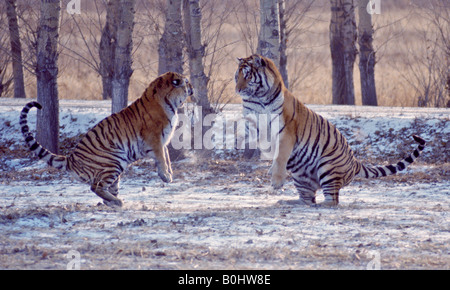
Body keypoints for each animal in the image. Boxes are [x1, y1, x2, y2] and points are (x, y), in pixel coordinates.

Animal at [20, 72, 193, 208]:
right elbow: (162, 158)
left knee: (107, 188)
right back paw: (117, 202)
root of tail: (71, 159)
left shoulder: (163, 141)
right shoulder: (155, 139)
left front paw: (169, 174)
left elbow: (167, 157)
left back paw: (113, 201)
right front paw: (166, 176)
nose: (193, 88)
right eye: (187, 82)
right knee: (96, 187)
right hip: (114, 160)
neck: (170, 103)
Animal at [234, 54, 428, 207]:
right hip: (300, 176)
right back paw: (287, 202)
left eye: (248, 76)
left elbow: (281, 156)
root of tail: (354, 162)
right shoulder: (253, 124)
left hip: (327, 167)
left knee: (331, 200)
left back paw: (316, 204)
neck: (257, 100)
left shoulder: (286, 131)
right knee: (307, 199)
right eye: (237, 77)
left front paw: (276, 181)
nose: (237, 90)